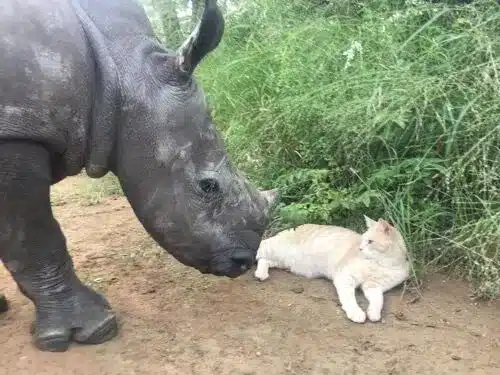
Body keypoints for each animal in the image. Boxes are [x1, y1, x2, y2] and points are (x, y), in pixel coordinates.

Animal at [254, 216, 410, 324]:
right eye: (362, 240)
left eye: (370, 242)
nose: (360, 248)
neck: (382, 264)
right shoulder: (345, 277)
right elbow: (349, 298)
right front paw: (356, 313)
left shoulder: (374, 287)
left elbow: (378, 300)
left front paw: (374, 313)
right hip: (276, 249)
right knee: (259, 249)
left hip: (283, 261)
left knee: (265, 260)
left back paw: (262, 273)